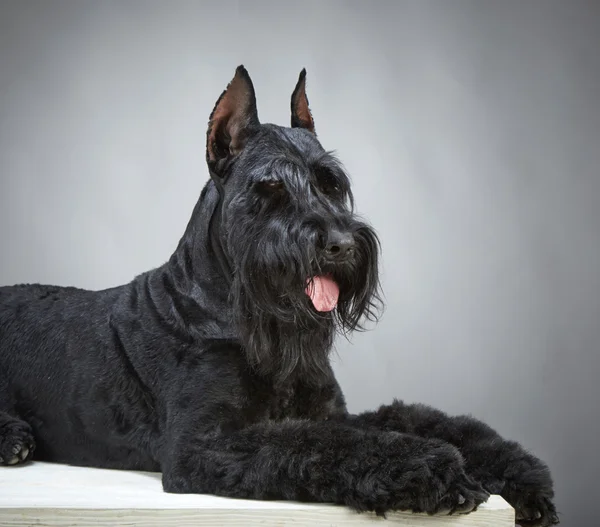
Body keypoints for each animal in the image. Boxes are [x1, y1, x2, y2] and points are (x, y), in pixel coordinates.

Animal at [0, 68, 556, 524]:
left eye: (331, 183)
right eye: (269, 189)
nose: (342, 245)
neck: (232, 316)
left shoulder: (328, 412)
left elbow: (407, 421)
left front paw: (520, 473)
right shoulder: (204, 443)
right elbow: (329, 445)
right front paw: (437, 469)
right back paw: (13, 439)